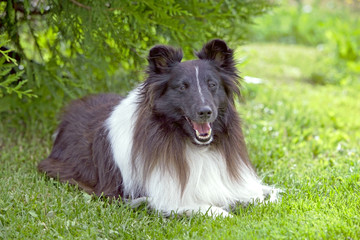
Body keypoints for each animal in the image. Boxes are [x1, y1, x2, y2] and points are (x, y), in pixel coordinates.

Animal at [38, 39, 278, 218]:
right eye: (182, 87)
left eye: (212, 85)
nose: (205, 112)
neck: (189, 143)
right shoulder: (164, 197)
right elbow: (208, 208)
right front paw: (227, 214)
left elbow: (263, 194)